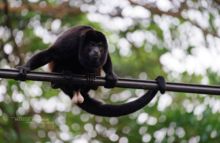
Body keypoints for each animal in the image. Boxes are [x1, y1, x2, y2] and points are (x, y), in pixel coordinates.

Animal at [17, 25, 165, 116]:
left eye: (100, 46)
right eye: (92, 44)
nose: (96, 51)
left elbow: (106, 58)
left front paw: (110, 75)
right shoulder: (71, 42)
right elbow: (50, 53)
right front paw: (25, 67)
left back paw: (90, 77)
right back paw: (63, 76)